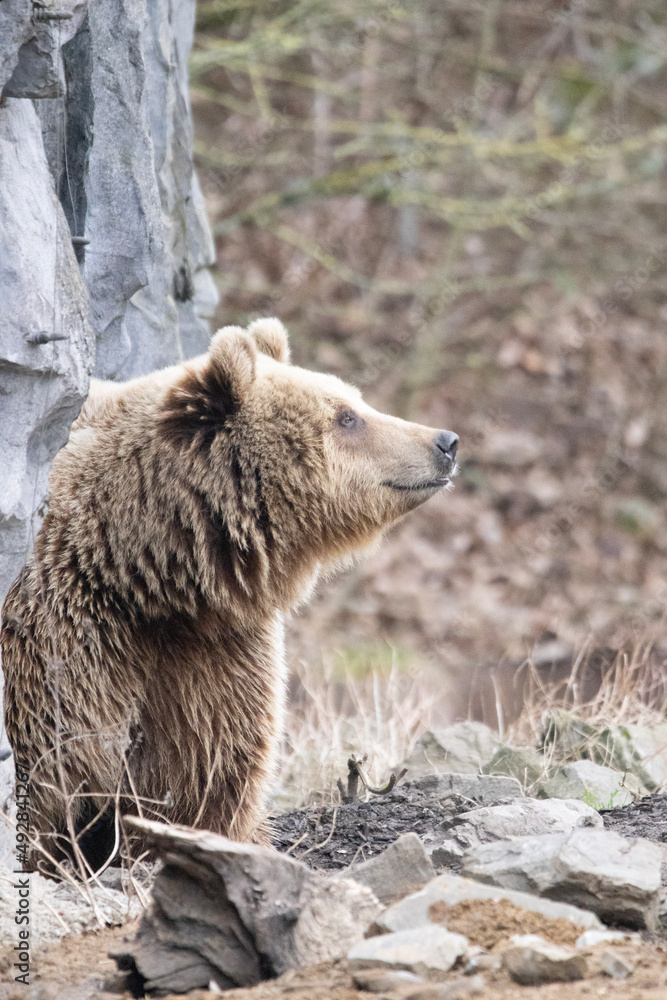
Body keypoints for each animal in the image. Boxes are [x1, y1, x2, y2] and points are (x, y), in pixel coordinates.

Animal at [1, 318, 459, 870]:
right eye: (346, 416)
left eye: (356, 402)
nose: (446, 440)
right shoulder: (62, 640)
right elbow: (54, 769)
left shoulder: (210, 652)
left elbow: (204, 764)